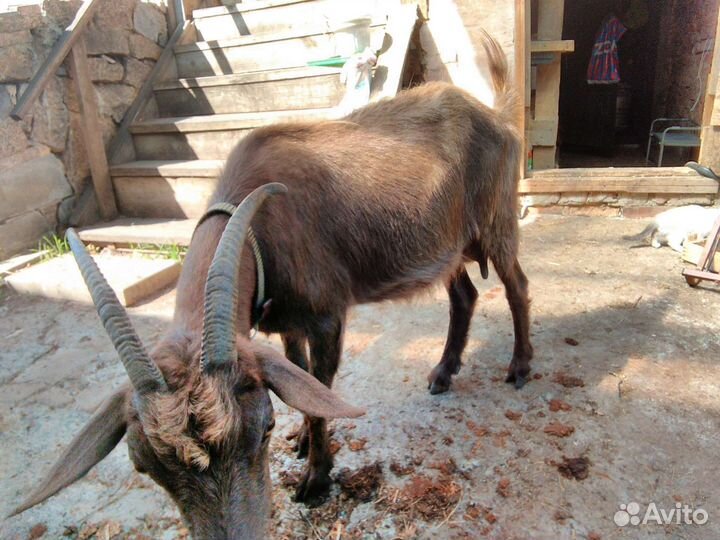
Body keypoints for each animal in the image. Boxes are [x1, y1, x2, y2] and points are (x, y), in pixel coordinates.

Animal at [11, 33, 531, 538]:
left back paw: (520, 366)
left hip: (497, 221)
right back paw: (443, 372)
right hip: (449, 246)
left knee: (517, 286)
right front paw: (302, 440)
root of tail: (496, 114)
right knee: (464, 296)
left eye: (264, 428)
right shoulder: (286, 322)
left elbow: (320, 389)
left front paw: (316, 477)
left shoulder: (326, 316)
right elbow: (298, 374)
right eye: (144, 467)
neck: (260, 226)